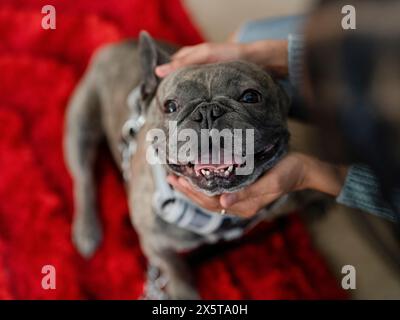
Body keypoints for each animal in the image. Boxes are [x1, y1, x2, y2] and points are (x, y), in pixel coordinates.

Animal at [64, 31, 296, 298]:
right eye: (170, 106)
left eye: (251, 96)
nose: (207, 112)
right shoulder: (154, 243)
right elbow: (176, 267)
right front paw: (184, 291)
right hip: (81, 126)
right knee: (84, 179)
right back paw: (87, 229)